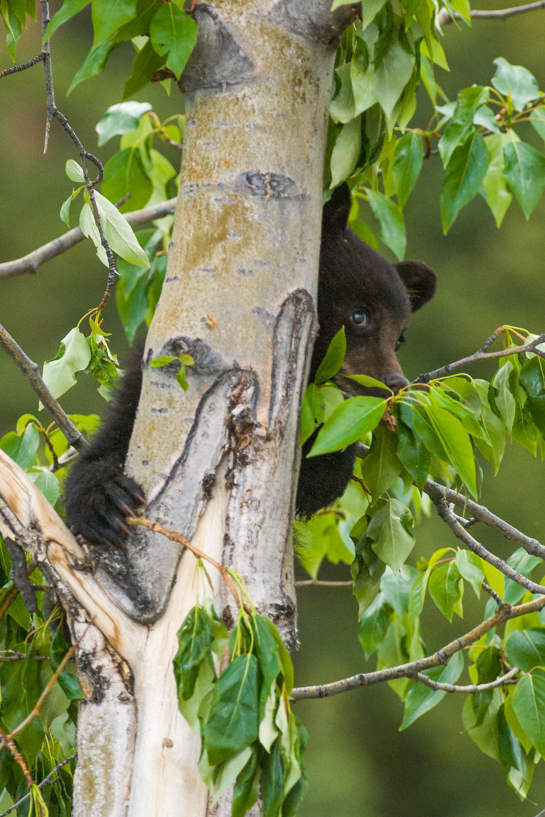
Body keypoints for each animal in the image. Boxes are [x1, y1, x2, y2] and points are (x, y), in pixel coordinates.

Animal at [64, 183, 436, 546]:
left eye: (399, 339)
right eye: (360, 315)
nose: (395, 384)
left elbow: (317, 483)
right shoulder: (140, 384)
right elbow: (110, 442)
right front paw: (106, 500)